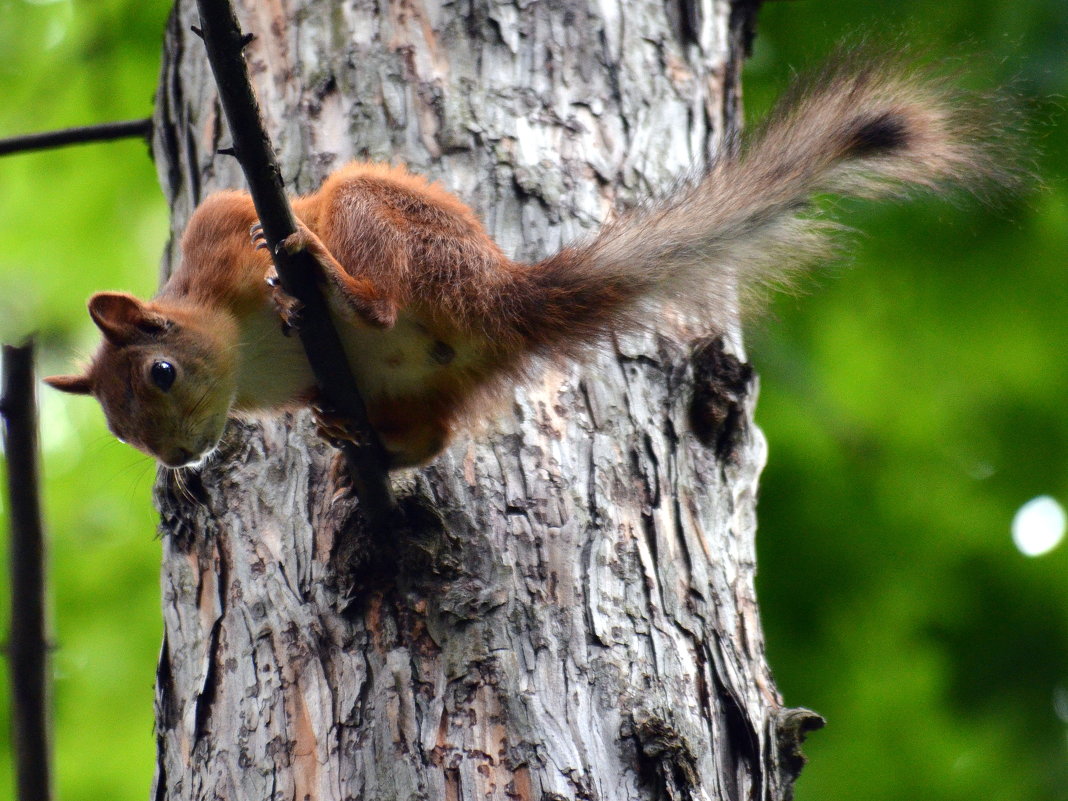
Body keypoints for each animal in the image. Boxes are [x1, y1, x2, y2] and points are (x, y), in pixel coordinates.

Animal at [45, 61, 1003, 469]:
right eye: (122, 431)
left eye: (161, 373)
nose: (177, 459)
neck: (244, 355)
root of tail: (496, 296)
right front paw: (330, 424)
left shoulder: (221, 226)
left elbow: (241, 218)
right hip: (424, 381)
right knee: (433, 434)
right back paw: (369, 443)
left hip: (382, 219)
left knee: (380, 297)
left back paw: (329, 281)